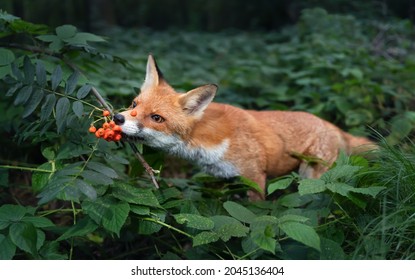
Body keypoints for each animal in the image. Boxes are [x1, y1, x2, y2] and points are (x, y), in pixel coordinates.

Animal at [114, 54, 376, 199]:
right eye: (134, 104)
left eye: (157, 118)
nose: (118, 118)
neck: (204, 140)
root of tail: (333, 126)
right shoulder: (224, 180)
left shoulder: (255, 176)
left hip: (312, 176)